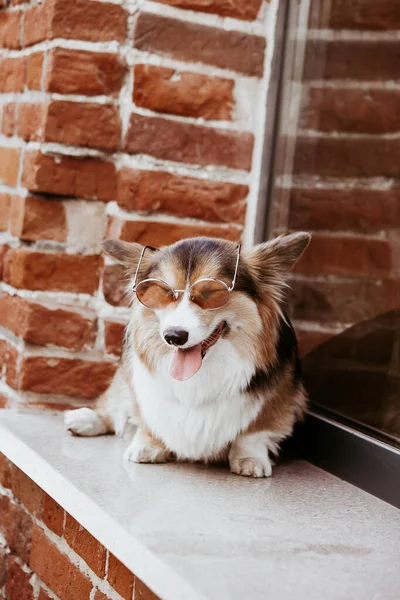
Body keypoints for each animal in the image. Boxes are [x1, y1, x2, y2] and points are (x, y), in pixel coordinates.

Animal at [64, 233, 310, 478]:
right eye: (162, 293)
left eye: (211, 293)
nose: (174, 336)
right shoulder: (143, 392)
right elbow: (146, 419)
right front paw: (148, 446)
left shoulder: (277, 399)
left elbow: (254, 432)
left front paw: (250, 458)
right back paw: (85, 419)